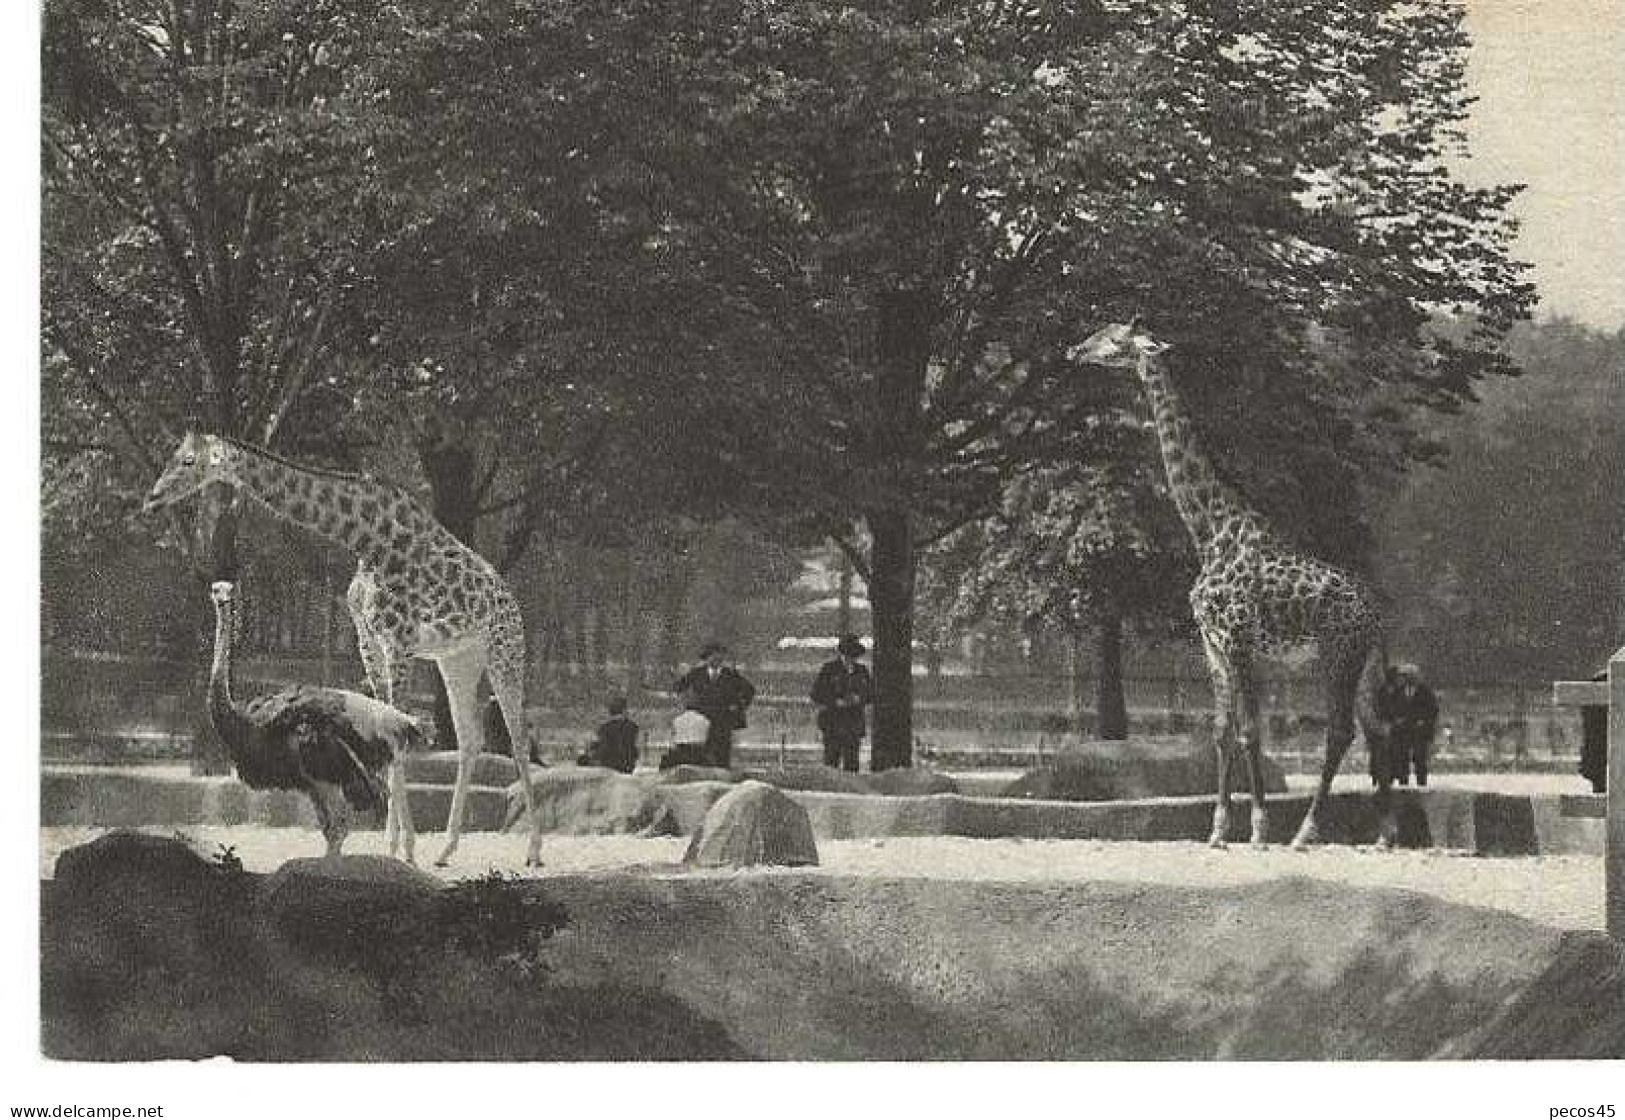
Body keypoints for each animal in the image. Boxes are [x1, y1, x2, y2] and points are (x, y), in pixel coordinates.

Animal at [144, 429, 546, 864]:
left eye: (187, 461)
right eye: (174, 455)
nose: (153, 497)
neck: (366, 540)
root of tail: (509, 598)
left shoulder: (399, 641)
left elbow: (398, 735)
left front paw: (404, 849)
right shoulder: (368, 639)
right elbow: (388, 728)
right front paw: (395, 845)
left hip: (504, 649)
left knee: (517, 737)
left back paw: (533, 850)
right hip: (458, 659)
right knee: (470, 738)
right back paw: (446, 847)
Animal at [1066, 321, 1397, 845]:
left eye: (1114, 338)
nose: (1075, 349)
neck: (1209, 530)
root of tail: (1377, 615)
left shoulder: (1239, 640)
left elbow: (1249, 732)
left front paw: (1259, 828)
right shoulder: (1213, 645)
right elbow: (1221, 732)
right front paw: (1218, 830)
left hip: (1336, 655)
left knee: (1341, 731)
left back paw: (1305, 832)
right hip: (1362, 665)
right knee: (1376, 732)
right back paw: (1384, 831)